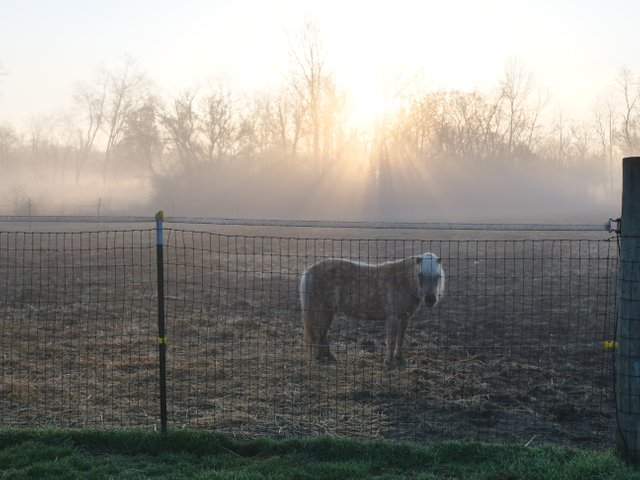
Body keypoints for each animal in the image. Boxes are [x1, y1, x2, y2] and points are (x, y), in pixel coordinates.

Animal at [300, 251, 444, 368]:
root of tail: (311, 270)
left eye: (437, 276)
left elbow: (400, 339)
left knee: (323, 334)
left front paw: (401, 360)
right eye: (420, 275)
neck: (403, 281)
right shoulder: (393, 318)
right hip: (325, 310)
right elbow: (391, 340)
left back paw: (330, 358)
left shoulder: (404, 319)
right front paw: (390, 362)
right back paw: (322, 359)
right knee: (320, 334)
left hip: (329, 312)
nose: (430, 299)